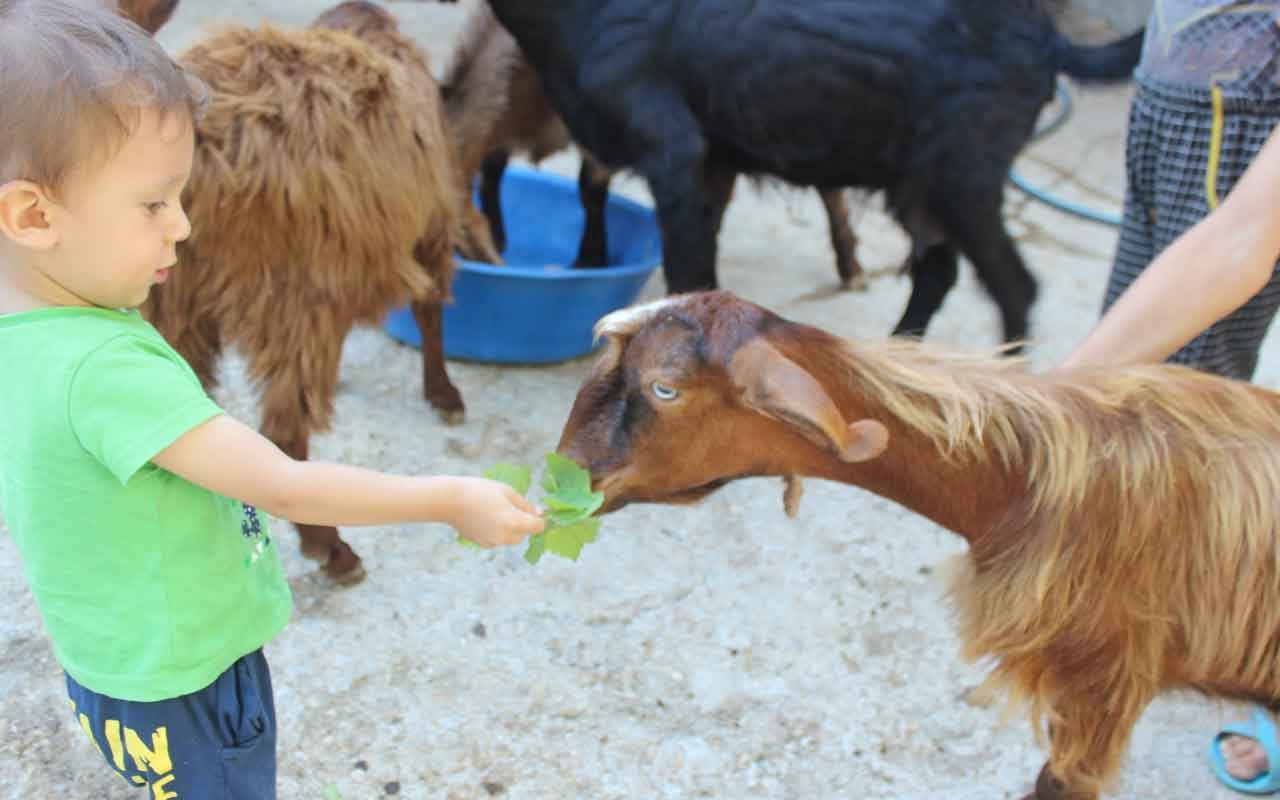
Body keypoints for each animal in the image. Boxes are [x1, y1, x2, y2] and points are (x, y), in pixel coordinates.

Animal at [137, 3, 468, 583]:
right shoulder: (431, 219)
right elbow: (430, 309)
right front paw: (444, 393)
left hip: (169, 301)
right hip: (294, 299)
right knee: (284, 434)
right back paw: (332, 548)